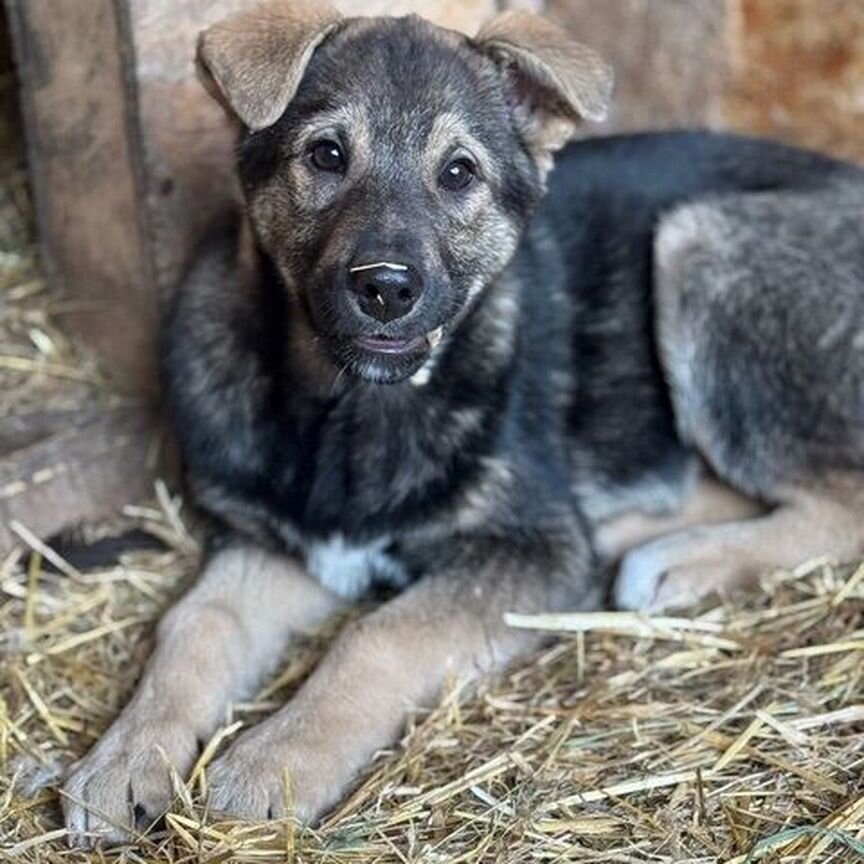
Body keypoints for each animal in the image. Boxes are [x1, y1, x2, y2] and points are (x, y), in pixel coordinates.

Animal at [64, 0, 864, 840]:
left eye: (458, 173)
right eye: (325, 155)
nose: (385, 289)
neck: (351, 410)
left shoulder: (525, 547)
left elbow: (377, 636)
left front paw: (274, 760)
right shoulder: (275, 543)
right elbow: (196, 625)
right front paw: (126, 757)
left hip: (698, 242)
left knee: (843, 499)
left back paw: (681, 559)